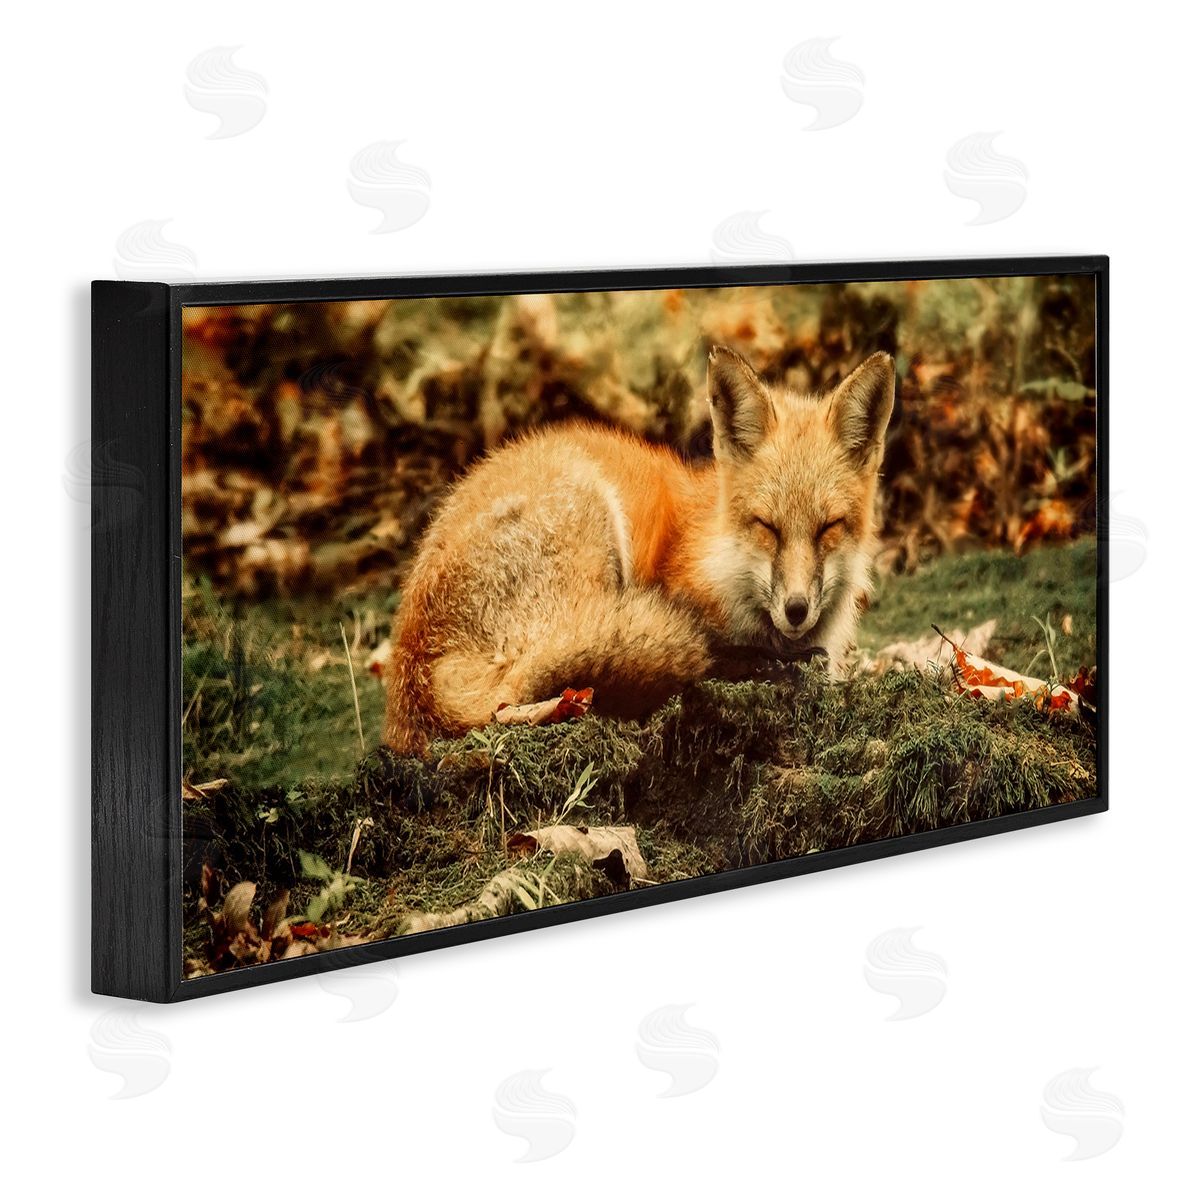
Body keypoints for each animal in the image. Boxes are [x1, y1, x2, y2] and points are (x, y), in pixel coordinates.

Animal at [384, 345, 895, 756]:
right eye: (766, 526)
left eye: (828, 527)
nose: (796, 609)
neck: (722, 561)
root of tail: (413, 669)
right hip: (590, 515)